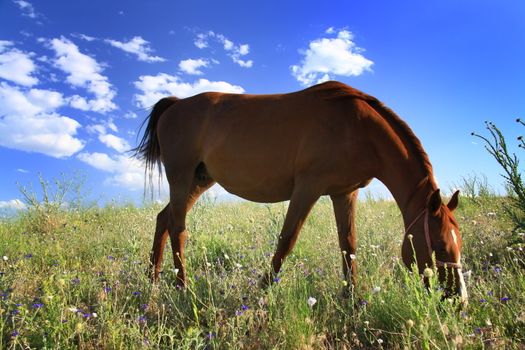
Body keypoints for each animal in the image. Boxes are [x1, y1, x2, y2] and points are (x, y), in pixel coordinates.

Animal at [134, 80, 466, 302]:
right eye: (439, 246)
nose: (458, 300)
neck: (358, 127)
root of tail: (176, 104)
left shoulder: (344, 193)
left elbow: (348, 245)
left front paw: (351, 299)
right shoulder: (308, 188)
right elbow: (287, 240)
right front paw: (261, 291)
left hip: (199, 181)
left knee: (164, 220)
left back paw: (152, 281)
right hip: (182, 179)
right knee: (178, 229)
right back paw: (183, 286)